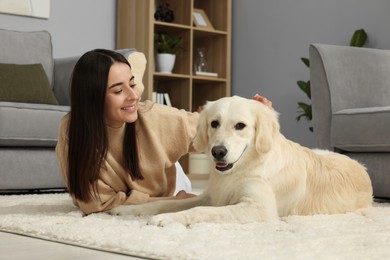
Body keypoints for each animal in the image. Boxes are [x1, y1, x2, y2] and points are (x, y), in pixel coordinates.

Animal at [111, 95, 374, 225]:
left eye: (240, 126)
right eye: (214, 123)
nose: (218, 152)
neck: (244, 168)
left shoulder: (259, 208)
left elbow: (199, 211)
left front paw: (166, 220)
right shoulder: (211, 196)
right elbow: (167, 202)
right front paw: (129, 210)